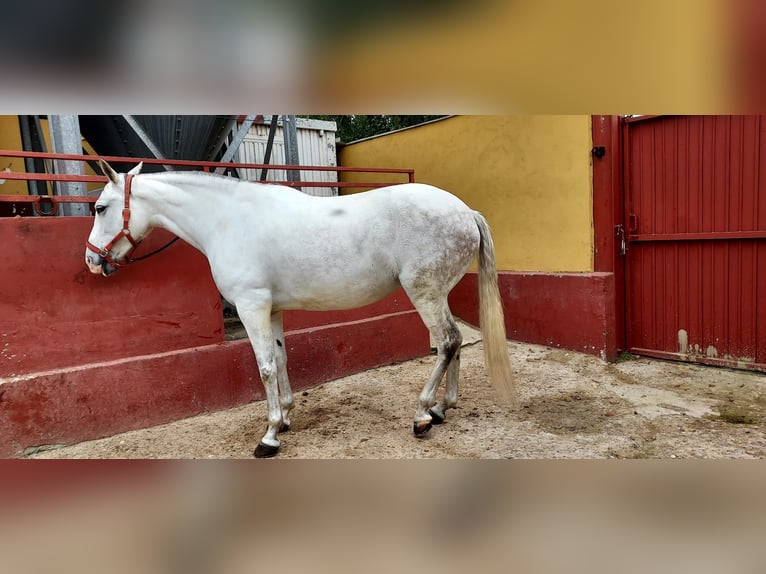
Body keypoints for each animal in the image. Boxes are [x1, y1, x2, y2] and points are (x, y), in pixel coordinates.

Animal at [85, 161, 516, 460]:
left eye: (101, 207)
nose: (92, 261)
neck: (229, 221)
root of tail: (465, 211)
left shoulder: (251, 306)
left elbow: (264, 367)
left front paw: (269, 435)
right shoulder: (271, 309)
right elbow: (281, 360)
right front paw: (287, 417)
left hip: (424, 293)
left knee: (446, 342)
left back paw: (423, 415)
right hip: (438, 293)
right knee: (455, 343)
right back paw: (443, 408)